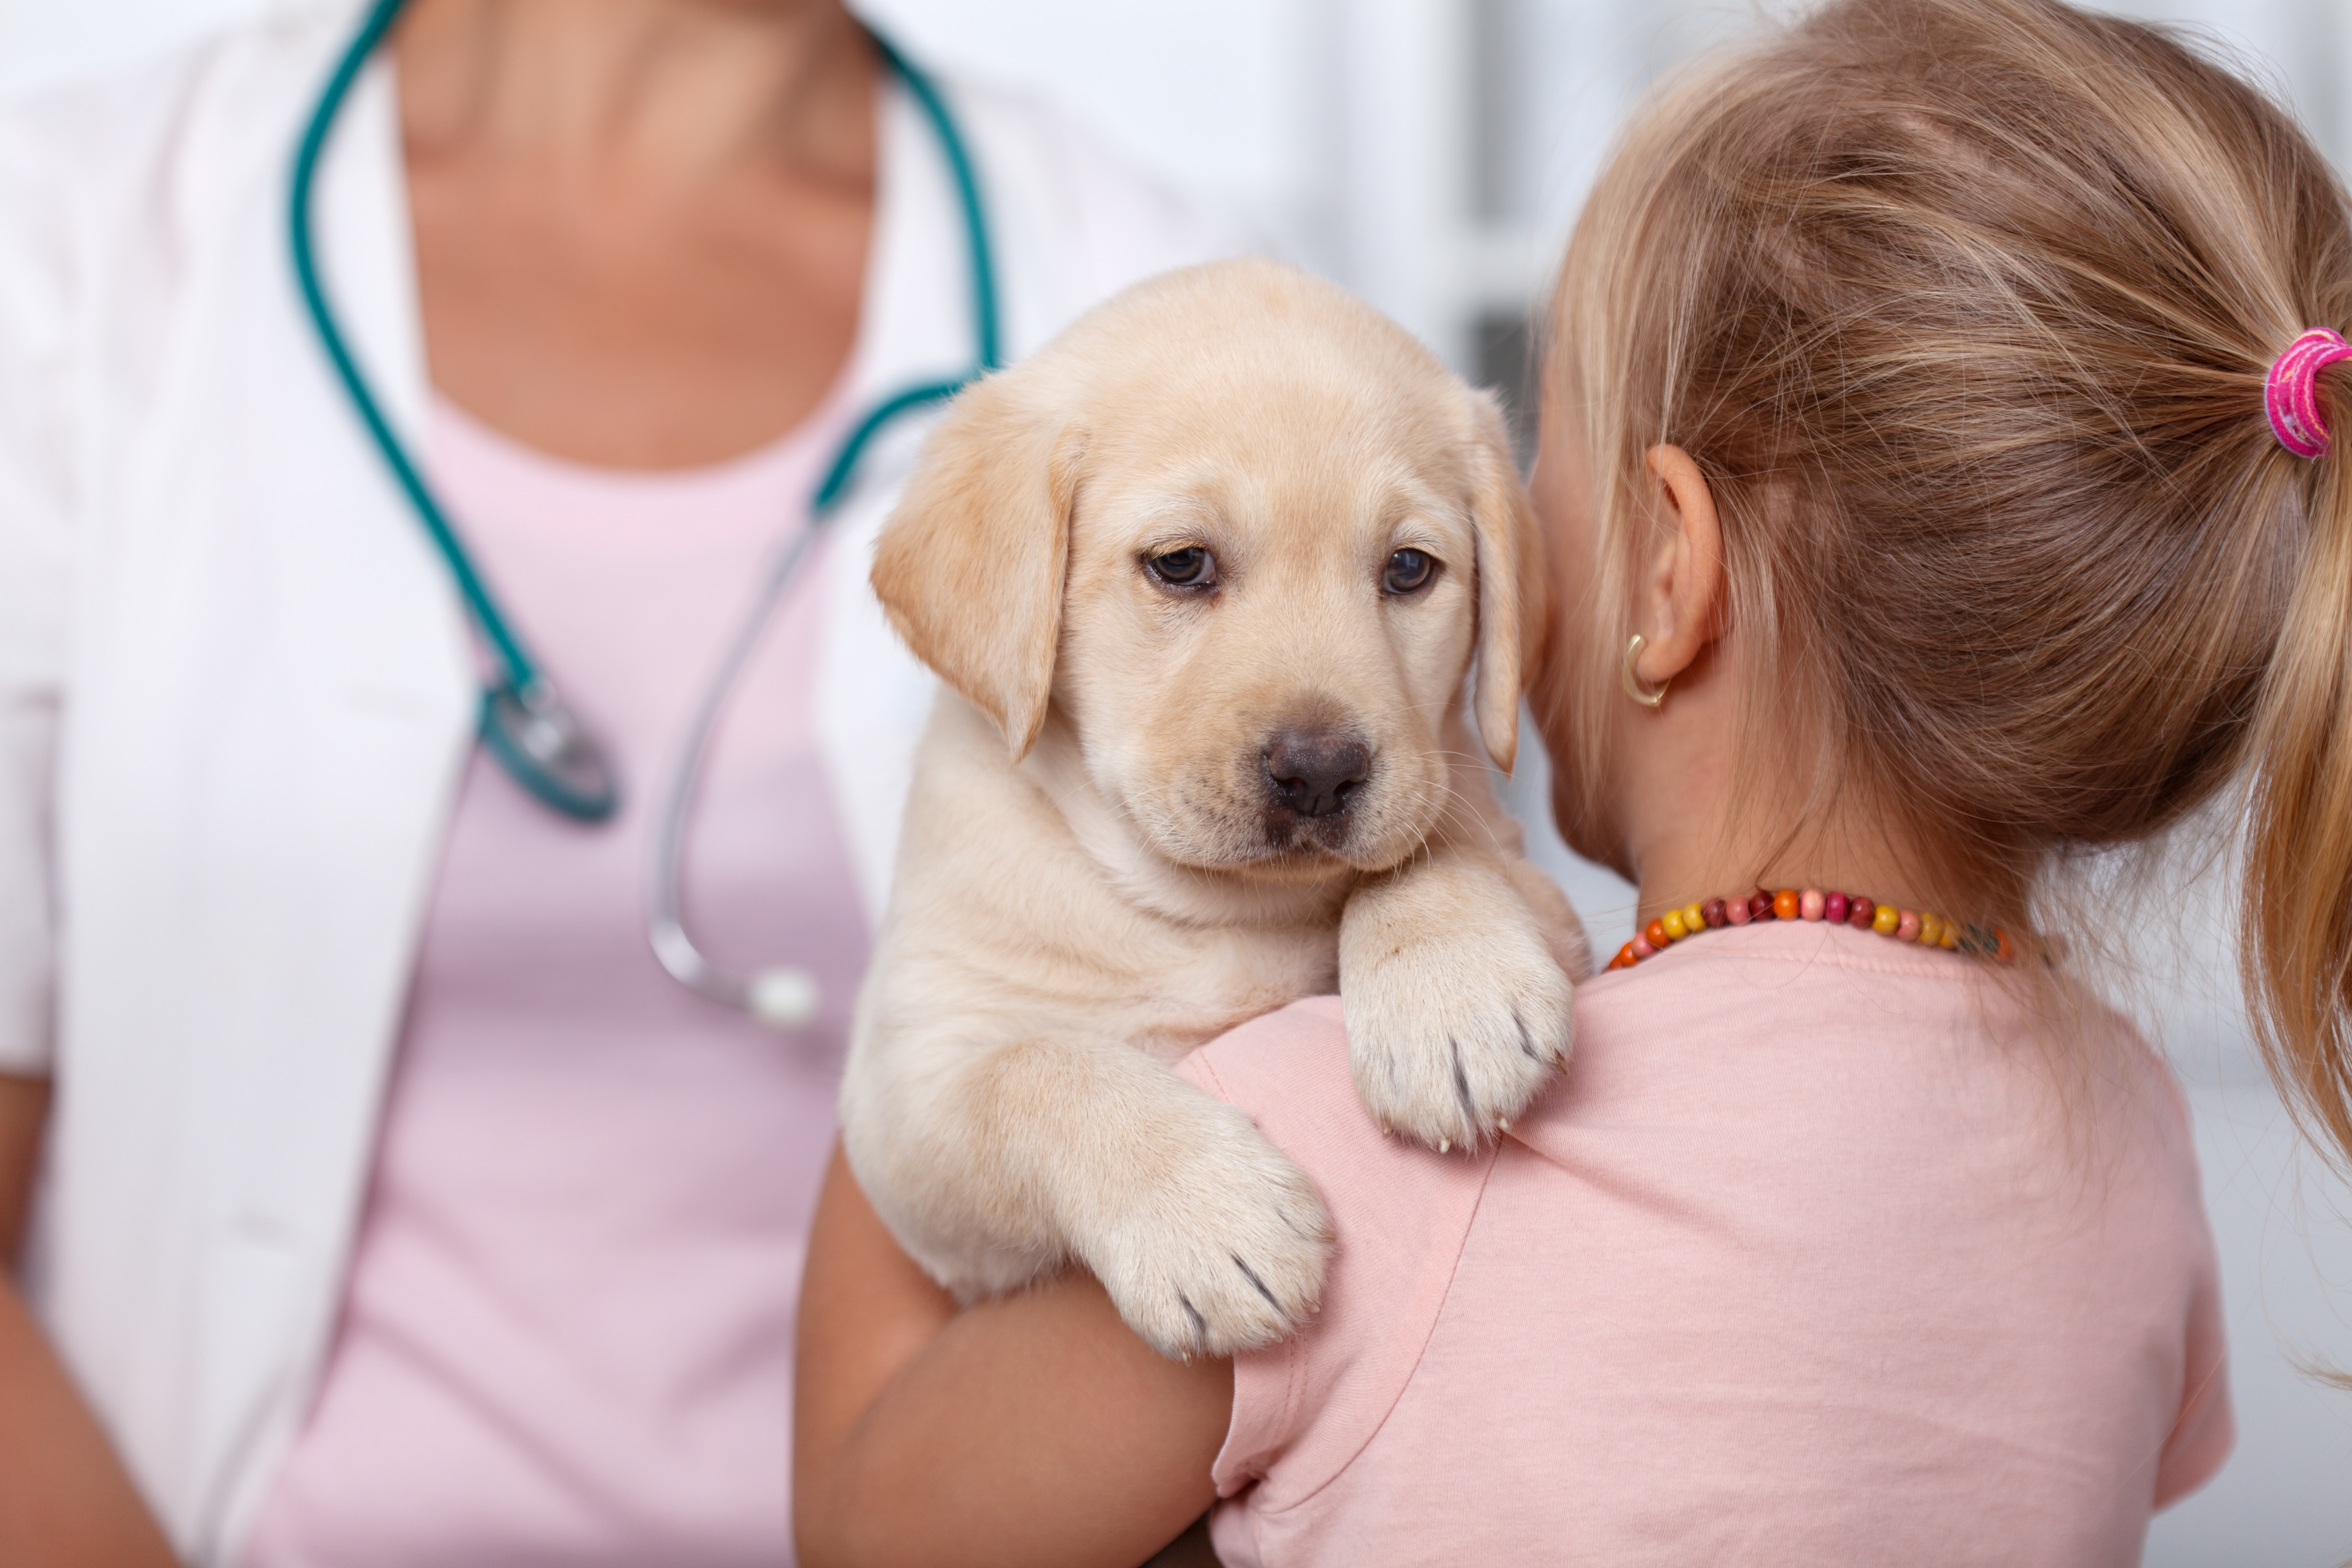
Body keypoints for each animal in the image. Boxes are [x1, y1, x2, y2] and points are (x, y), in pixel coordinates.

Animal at [837, 261, 1590, 1363]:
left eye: (1409, 569)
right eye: (1182, 564)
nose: (1319, 772)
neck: (1213, 911)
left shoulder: (1543, 894)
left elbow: (1431, 850)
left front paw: (1452, 994)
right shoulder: (908, 1085)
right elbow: (1036, 1068)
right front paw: (1202, 1216)